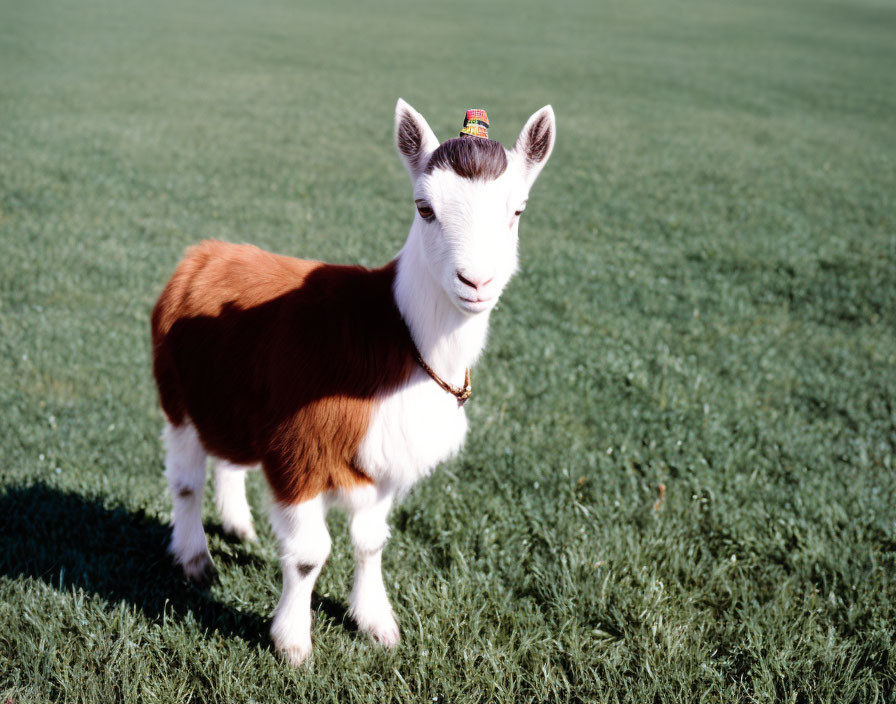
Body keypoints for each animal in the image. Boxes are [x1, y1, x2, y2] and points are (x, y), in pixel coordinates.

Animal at [150, 100, 556, 664]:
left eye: (517, 211)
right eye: (424, 208)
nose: (476, 282)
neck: (395, 331)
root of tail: (204, 254)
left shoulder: (381, 454)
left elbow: (371, 541)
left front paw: (376, 622)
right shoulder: (297, 449)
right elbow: (308, 553)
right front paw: (293, 643)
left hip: (232, 396)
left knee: (228, 458)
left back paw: (238, 525)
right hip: (178, 393)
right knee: (186, 478)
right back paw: (194, 558)